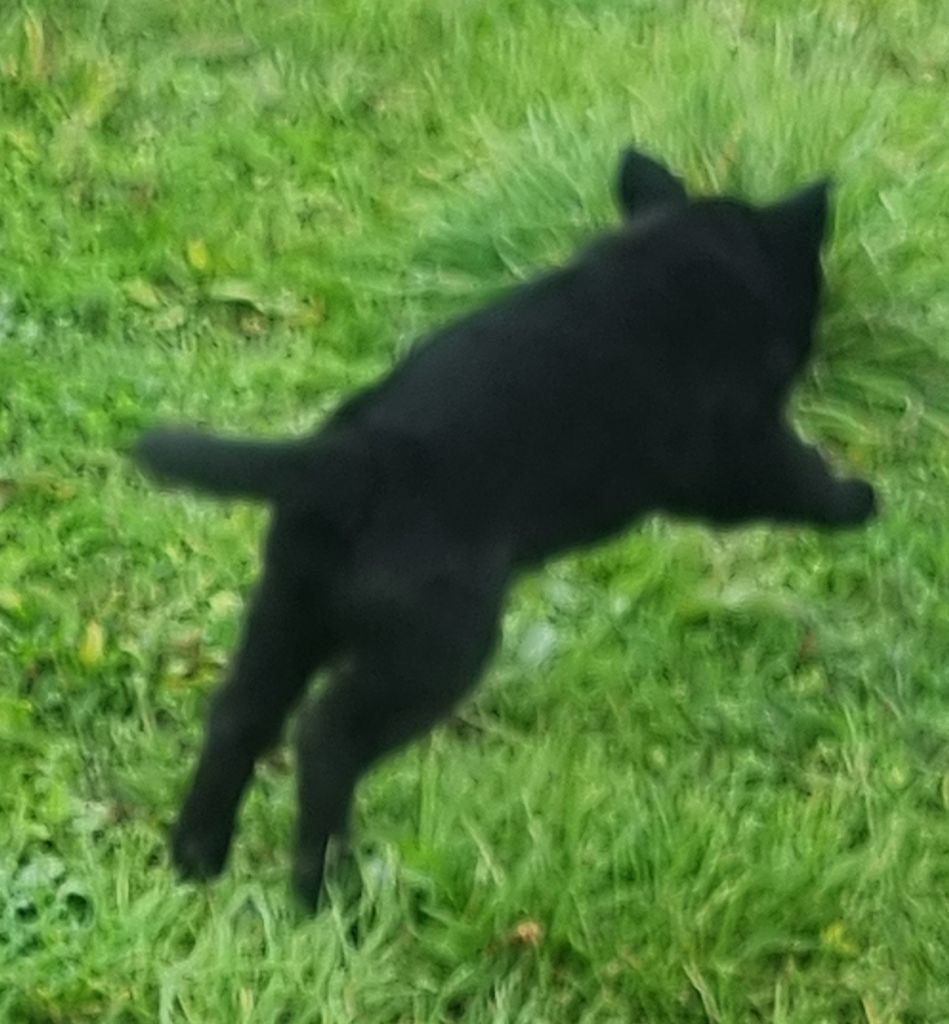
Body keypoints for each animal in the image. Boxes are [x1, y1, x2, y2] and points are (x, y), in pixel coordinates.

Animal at [136, 148, 877, 908]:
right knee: (326, 740)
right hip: (432, 649)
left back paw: (197, 860)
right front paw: (855, 497)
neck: (678, 254)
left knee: (239, 717)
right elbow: (797, 476)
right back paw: (328, 895)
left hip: (288, 612)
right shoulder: (736, 452)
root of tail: (344, 458)